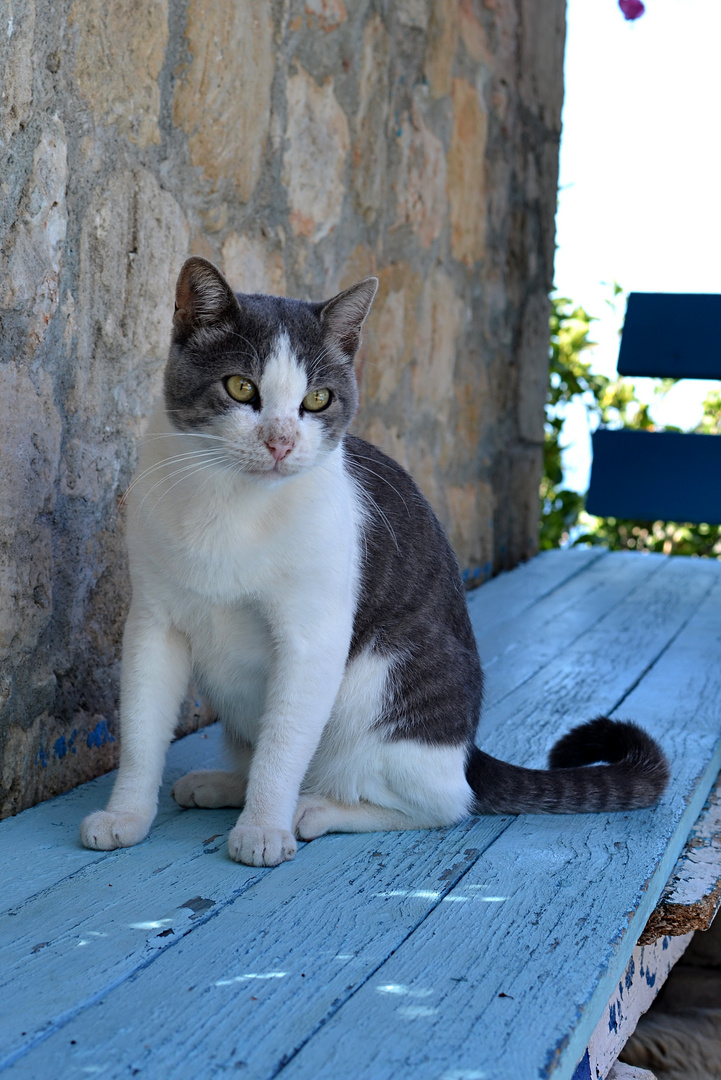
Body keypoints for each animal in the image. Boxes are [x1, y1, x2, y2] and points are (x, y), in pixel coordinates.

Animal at [78, 259, 669, 868]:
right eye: (241, 387)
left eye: (317, 399)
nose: (281, 442)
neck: (230, 505)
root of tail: (467, 749)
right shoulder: (153, 621)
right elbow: (142, 729)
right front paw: (127, 814)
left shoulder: (312, 638)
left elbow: (283, 743)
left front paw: (264, 827)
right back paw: (224, 784)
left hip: (383, 692)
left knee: (441, 802)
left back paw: (315, 808)